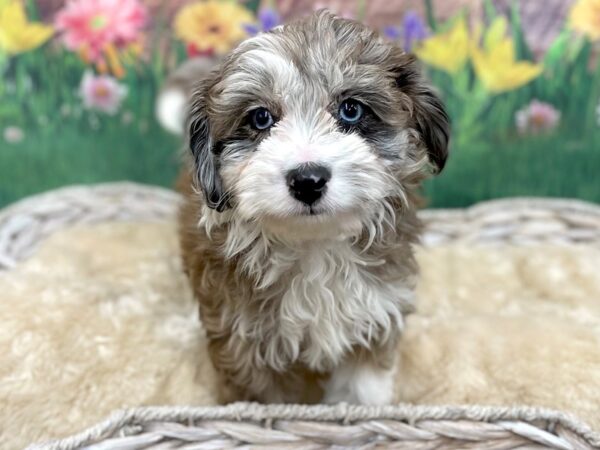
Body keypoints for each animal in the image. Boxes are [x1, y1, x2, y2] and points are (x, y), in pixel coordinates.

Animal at [178, 11, 450, 404]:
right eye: (260, 118)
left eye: (351, 110)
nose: (307, 180)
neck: (314, 245)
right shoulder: (243, 336)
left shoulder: (375, 311)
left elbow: (360, 387)